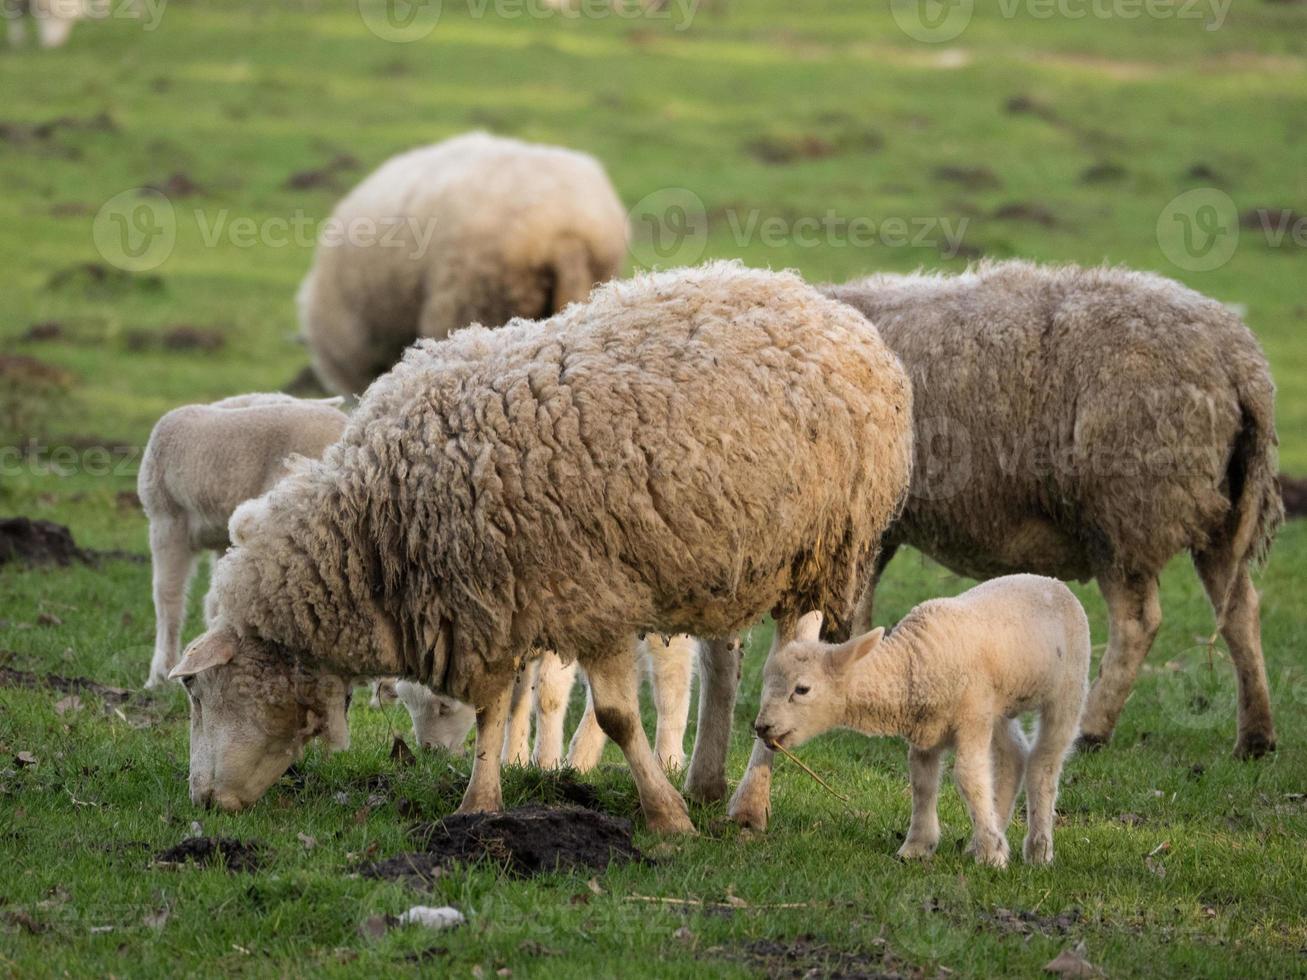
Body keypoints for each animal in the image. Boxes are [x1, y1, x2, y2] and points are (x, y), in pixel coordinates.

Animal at [168, 258, 914, 831]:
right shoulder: (490, 601)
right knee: (724, 663)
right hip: (731, 559)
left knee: (788, 666)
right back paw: (706, 782)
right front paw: (478, 804)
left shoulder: (589, 594)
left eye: (199, 692)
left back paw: (747, 806)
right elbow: (493, 711)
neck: (381, 523)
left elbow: (615, 716)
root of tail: (809, 295)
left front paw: (664, 817)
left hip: (822, 551)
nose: (203, 799)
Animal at [752, 574, 1087, 867]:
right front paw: (917, 847)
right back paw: (989, 834)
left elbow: (969, 777)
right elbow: (922, 783)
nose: (761, 727)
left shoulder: (972, 717)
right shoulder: (927, 731)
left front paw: (992, 855)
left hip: (1068, 685)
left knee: (1044, 762)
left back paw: (1038, 850)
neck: (910, 661)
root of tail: (1051, 581)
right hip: (999, 704)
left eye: (802, 689)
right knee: (1014, 756)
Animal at [820, 258, 1280, 757]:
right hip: (1222, 514)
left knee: (1138, 623)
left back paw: (1092, 729)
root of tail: (1241, 364)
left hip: (1125, 509)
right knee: (1241, 611)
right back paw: (1257, 737)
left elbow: (852, 610)